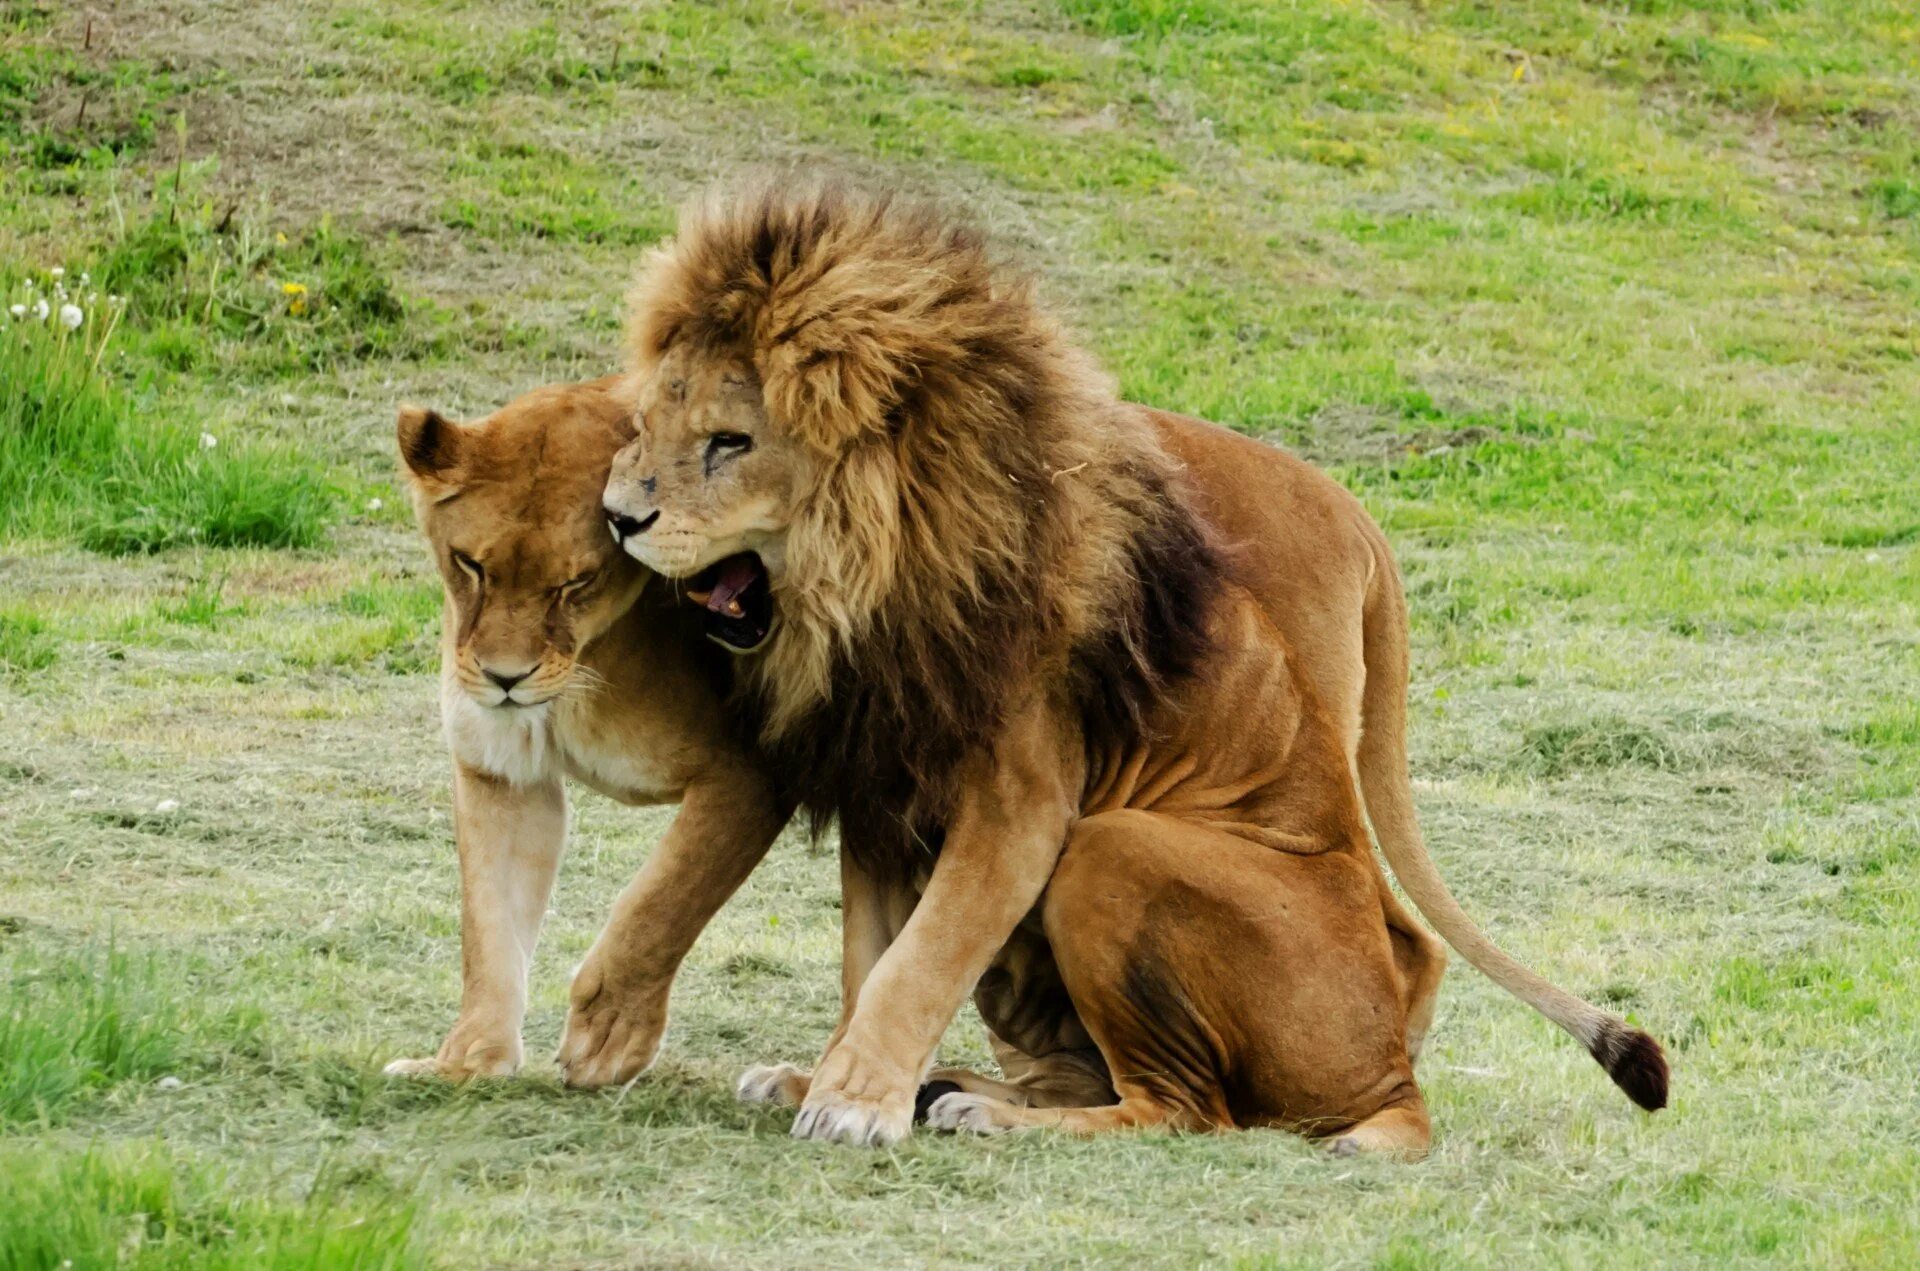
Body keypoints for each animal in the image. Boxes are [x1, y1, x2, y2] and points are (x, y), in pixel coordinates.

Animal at [382, 376, 787, 1082]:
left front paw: (610, 1033)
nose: (504, 678)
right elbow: (488, 926)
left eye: (577, 582)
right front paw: (468, 1061)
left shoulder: (756, 770)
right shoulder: (501, 773)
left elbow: (665, 899)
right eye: (470, 565)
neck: (585, 666)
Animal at [595, 181, 1666, 1151]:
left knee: (1187, 1107)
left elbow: (921, 956)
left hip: (1112, 847)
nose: (616, 515)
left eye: (731, 441)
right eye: (646, 424)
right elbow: (871, 955)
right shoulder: (882, 785)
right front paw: (839, 1078)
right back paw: (949, 1087)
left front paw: (855, 1103)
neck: (876, 587)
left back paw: (988, 1112)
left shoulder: (1022, 802)